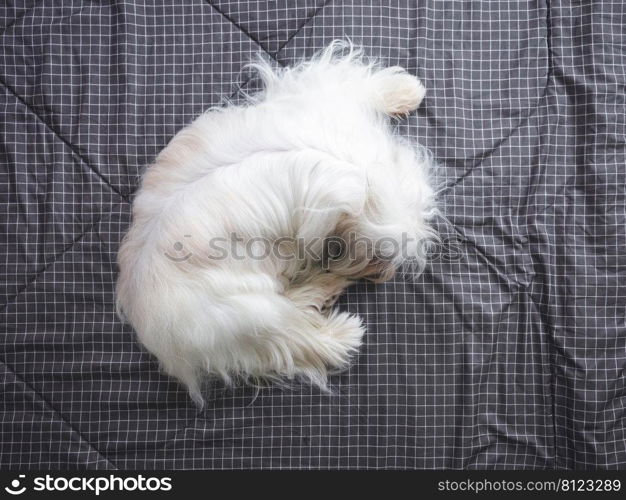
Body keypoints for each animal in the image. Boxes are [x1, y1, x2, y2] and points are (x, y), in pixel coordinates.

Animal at [118, 41, 438, 404]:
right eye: (379, 254)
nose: (385, 275)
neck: (355, 165)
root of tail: (142, 308)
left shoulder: (319, 94)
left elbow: (358, 81)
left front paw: (408, 89)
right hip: (246, 313)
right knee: (294, 337)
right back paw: (341, 330)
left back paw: (325, 286)